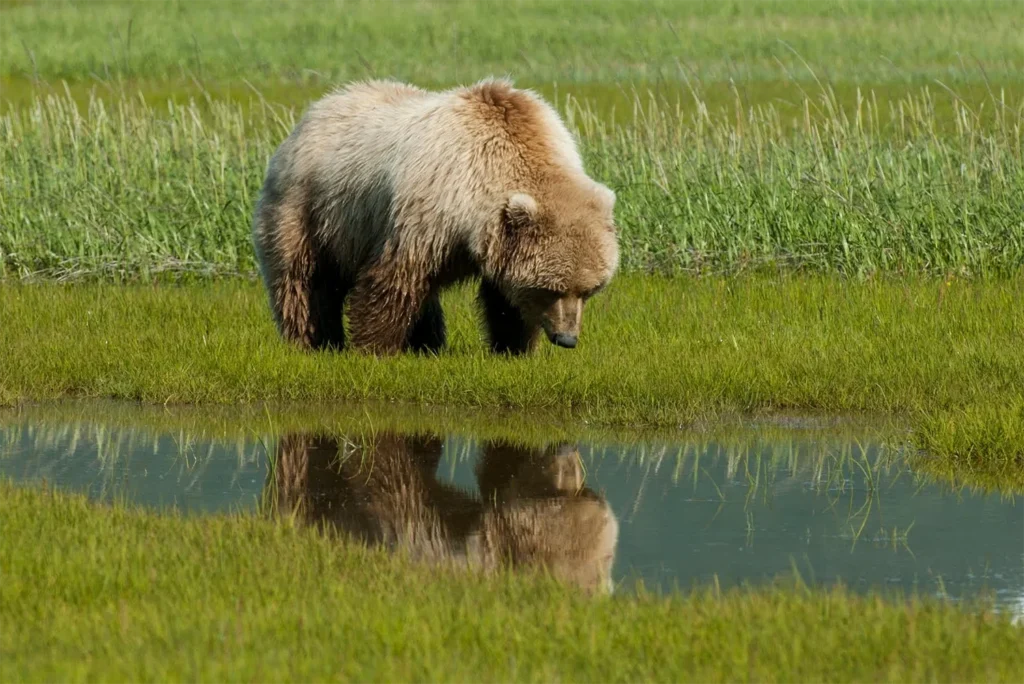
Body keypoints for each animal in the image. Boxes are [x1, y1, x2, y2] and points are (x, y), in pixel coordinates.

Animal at [251, 78, 619, 356]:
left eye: (589, 290)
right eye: (551, 288)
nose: (567, 338)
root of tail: (312, 113)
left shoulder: (493, 240)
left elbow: (502, 297)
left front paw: (513, 347)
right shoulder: (427, 211)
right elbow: (395, 279)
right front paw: (375, 347)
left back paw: (426, 342)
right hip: (308, 208)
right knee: (304, 278)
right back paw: (313, 340)